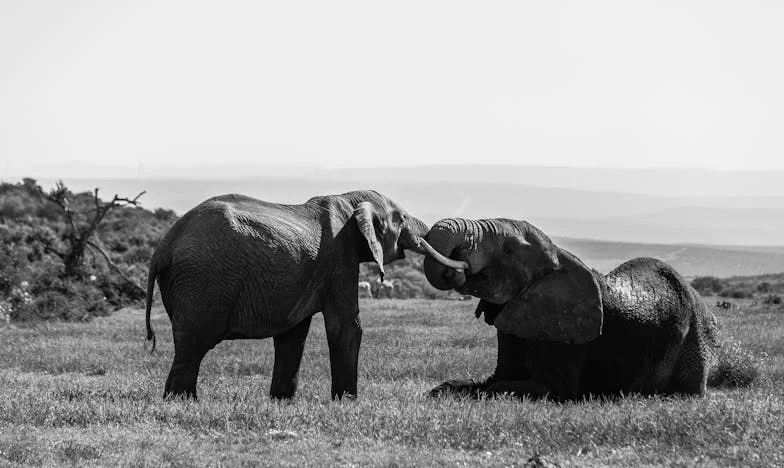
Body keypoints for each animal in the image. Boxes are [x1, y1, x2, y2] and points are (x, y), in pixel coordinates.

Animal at [146, 188, 428, 400]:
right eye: (403, 218)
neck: (351, 201)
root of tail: (163, 248)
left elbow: (293, 335)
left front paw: (281, 401)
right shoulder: (340, 258)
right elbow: (346, 327)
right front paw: (347, 402)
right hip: (204, 281)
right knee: (193, 346)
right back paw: (183, 402)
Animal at [420, 218, 720, 398]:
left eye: (508, 250)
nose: (455, 270)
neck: (558, 258)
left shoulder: (565, 334)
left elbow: (536, 388)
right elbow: (495, 378)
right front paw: (442, 389)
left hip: (695, 339)